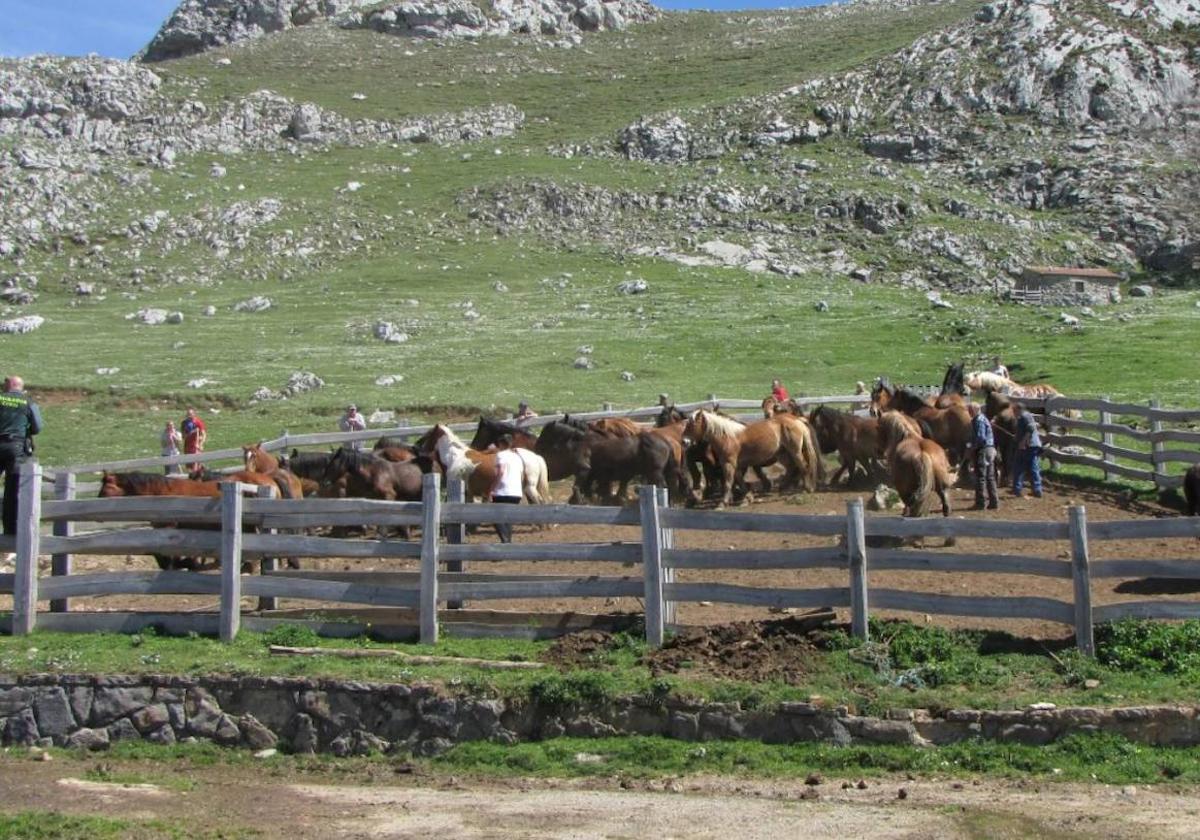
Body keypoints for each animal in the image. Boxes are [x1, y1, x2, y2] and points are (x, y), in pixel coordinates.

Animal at [681, 408, 820, 506]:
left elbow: (728, 482)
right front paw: (748, 498)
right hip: (782, 453)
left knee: (803, 466)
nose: (684, 441)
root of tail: (797, 420)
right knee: (792, 468)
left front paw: (722, 503)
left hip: (794, 451)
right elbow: (739, 481)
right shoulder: (735, 465)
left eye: (691, 425)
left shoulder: (728, 463)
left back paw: (807, 489)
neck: (727, 437)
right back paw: (783, 487)